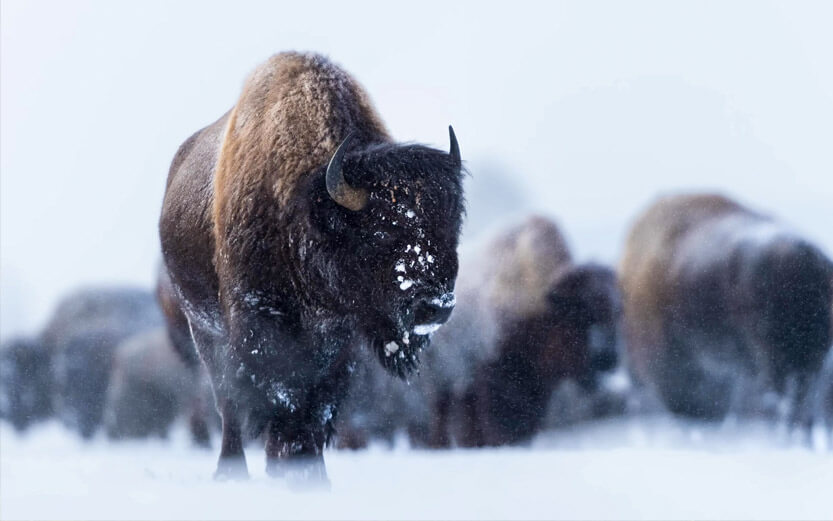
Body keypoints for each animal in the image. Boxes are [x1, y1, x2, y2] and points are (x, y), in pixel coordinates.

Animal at [159, 52, 464, 483]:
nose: (435, 307)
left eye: (452, 227)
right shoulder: (260, 325)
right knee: (228, 404)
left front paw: (311, 475)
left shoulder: (339, 342)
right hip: (203, 329)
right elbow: (282, 401)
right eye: (381, 231)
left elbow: (317, 410)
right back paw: (230, 472)